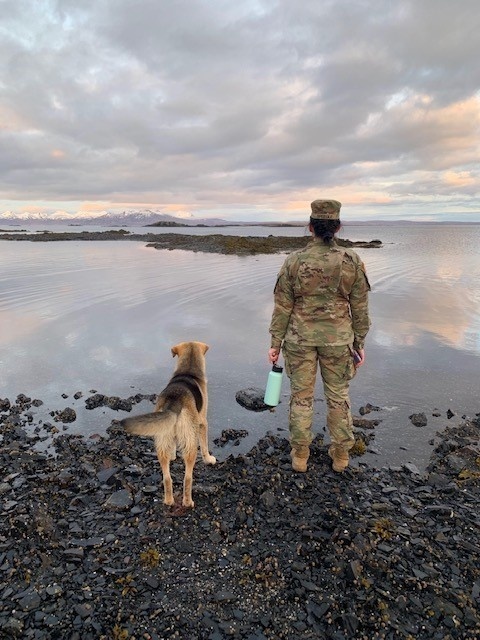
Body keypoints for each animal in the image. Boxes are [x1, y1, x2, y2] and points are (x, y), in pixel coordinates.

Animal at [120, 342, 218, 508]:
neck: (187, 371)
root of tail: (174, 403)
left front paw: (173, 456)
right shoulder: (202, 422)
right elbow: (204, 446)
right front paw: (209, 459)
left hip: (162, 438)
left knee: (167, 477)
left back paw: (168, 500)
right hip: (190, 443)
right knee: (187, 477)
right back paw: (188, 502)